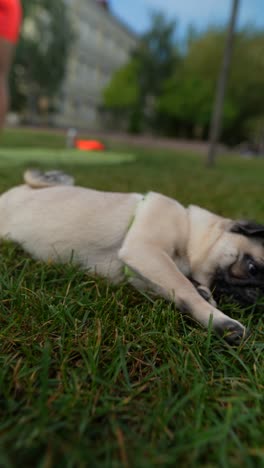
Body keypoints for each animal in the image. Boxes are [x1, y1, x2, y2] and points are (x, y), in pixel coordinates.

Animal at [0, 170, 262, 346]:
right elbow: (184, 287)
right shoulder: (145, 250)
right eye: (252, 268)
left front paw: (203, 292)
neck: (190, 231)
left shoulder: (144, 272)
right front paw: (221, 322)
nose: (258, 295)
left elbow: (179, 287)